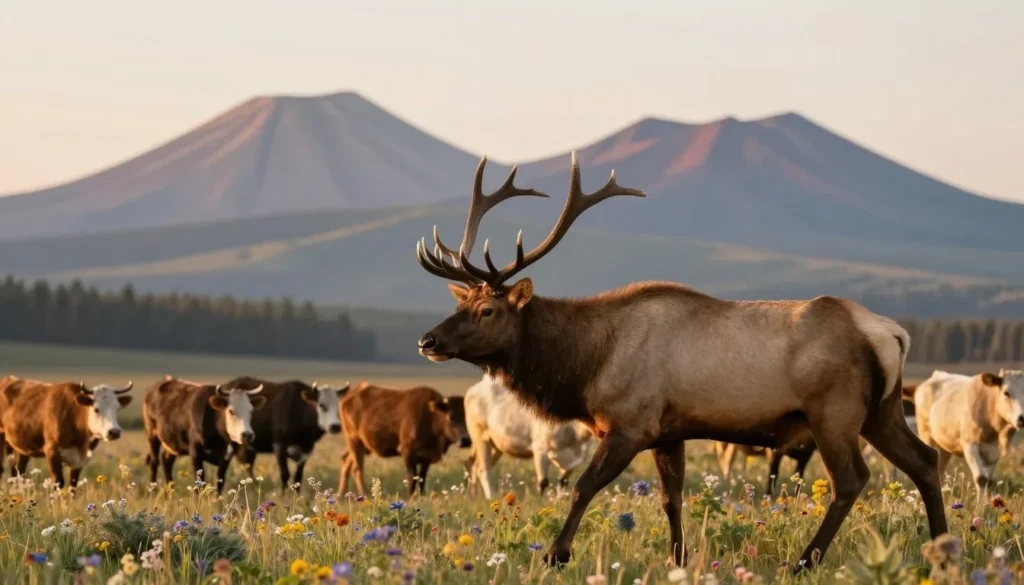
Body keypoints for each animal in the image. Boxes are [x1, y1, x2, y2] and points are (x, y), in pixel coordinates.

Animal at [412, 153, 948, 572]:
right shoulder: (669, 432)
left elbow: (583, 486)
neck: (586, 365)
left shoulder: (631, 423)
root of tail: (892, 334)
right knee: (926, 460)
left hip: (834, 412)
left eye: (487, 309)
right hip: (881, 411)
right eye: (463, 302)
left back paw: (803, 561)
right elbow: (672, 499)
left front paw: (555, 556)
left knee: (851, 480)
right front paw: (679, 560)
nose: (427, 340)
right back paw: (941, 550)